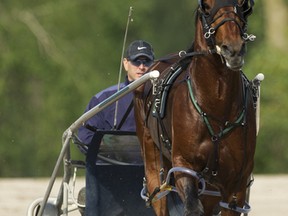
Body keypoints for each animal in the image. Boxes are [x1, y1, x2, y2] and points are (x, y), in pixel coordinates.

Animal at [133, 0, 256, 216]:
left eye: (241, 4)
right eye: (206, 6)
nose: (233, 49)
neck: (216, 103)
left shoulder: (237, 182)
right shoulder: (183, 166)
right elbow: (192, 206)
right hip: (151, 155)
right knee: (158, 195)